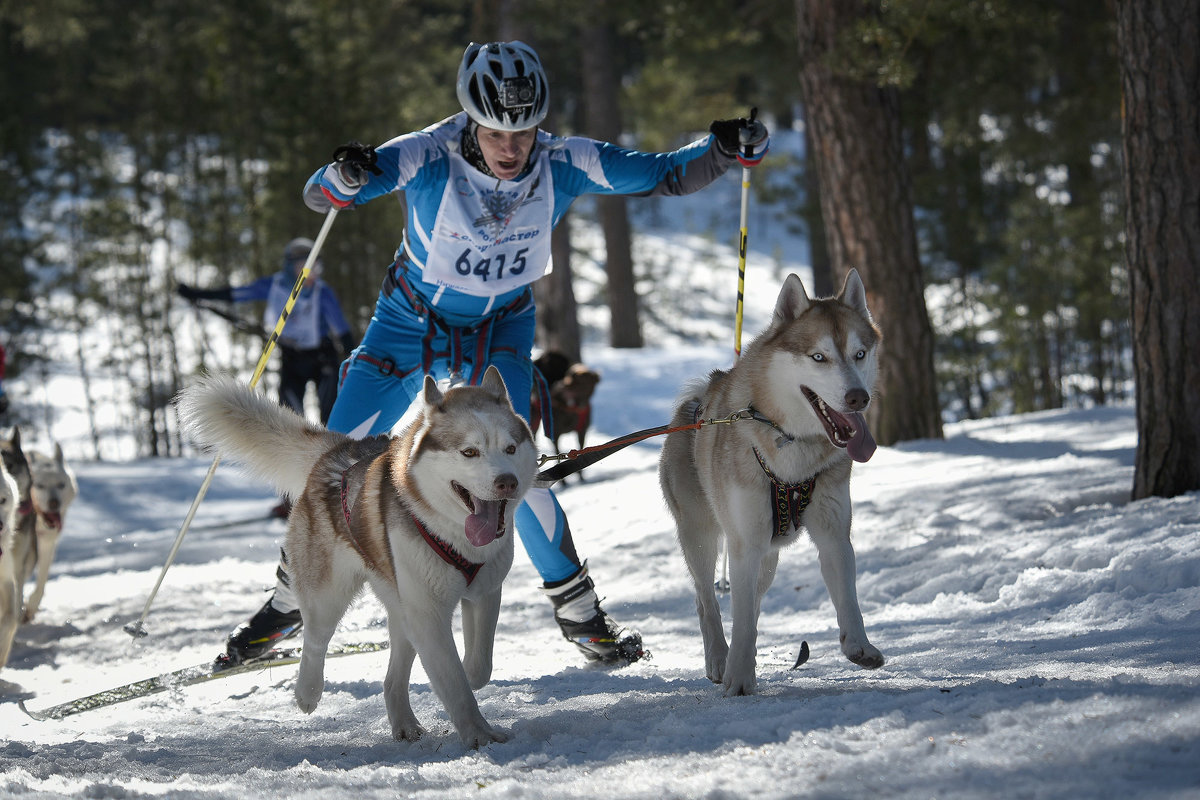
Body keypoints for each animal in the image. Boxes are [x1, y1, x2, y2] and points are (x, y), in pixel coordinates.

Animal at [177, 367, 535, 748]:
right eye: (469, 452)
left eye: (510, 448)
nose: (507, 482)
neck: (454, 536)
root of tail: (340, 451)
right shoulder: (428, 613)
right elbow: (455, 683)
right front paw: (479, 734)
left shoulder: (483, 594)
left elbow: (478, 667)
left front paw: (469, 675)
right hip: (328, 596)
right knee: (315, 641)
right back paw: (307, 692)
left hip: (400, 603)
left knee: (392, 676)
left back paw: (404, 723)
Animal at [662, 268, 888, 695]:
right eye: (818, 357)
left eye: (859, 354)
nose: (858, 398)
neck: (792, 446)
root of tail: (695, 405)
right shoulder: (744, 544)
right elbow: (739, 619)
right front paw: (736, 679)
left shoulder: (833, 533)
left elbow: (847, 599)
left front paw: (859, 646)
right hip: (702, 538)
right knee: (707, 601)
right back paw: (720, 659)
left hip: (767, 559)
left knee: (751, 603)